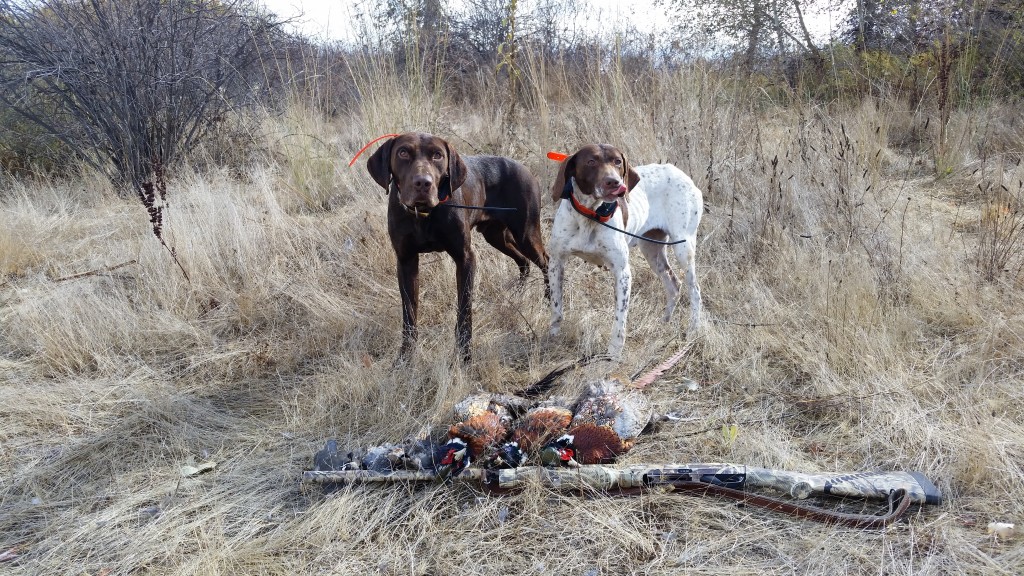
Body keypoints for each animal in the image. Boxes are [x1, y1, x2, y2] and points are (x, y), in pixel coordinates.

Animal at [364, 132, 548, 360]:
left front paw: (465, 354)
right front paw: (406, 356)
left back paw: (549, 300)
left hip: (526, 233)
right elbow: (409, 313)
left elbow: (464, 309)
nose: (423, 183)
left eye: (438, 155)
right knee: (523, 261)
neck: (424, 214)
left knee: (546, 261)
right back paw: (518, 293)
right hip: (496, 235)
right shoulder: (406, 261)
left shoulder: (465, 257)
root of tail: (525, 168)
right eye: (403, 152)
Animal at [548, 143, 700, 354]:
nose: (614, 182)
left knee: (695, 291)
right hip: (652, 249)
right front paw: (552, 338)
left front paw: (613, 353)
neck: (591, 215)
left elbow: (620, 320)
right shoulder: (556, 262)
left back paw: (693, 331)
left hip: (684, 248)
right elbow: (556, 307)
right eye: (591, 161)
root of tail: (685, 177)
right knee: (673, 284)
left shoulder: (622, 273)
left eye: (618, 161)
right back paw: (664, 322)